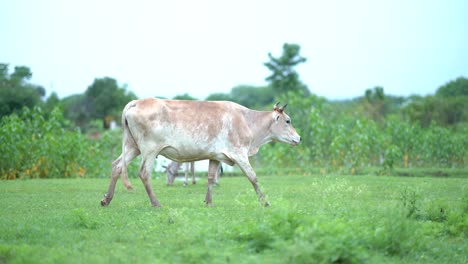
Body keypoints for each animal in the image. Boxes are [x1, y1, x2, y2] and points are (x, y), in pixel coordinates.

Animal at [100, 98, 302, 207]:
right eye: (288, 121)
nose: (299, 138)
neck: (247, 121)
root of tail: (136, 102)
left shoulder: (216, 156)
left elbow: (211, 178)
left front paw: (208, 202)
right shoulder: (239, 154)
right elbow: (253, 177)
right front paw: (265, 202)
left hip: (131, 146)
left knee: (117, 166)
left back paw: (106, 199)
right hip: (149, 149)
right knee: (144, 173)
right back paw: (156, 203)